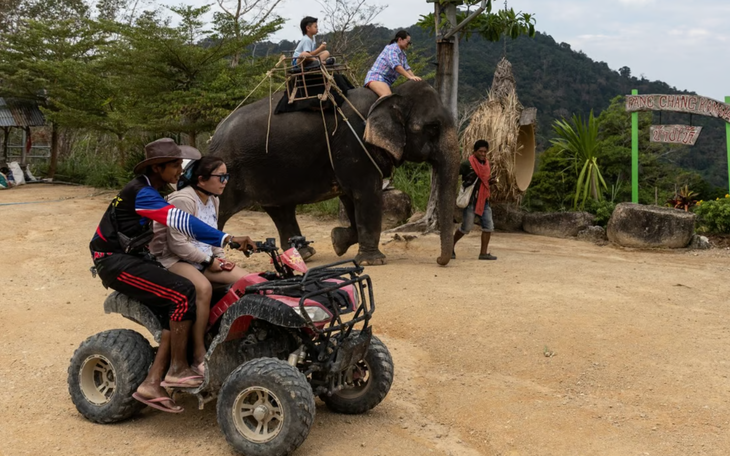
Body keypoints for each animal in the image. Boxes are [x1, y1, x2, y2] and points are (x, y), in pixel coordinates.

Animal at [209, 80, 456, 266]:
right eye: (434, 127)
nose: (439, 260)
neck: (391, 94)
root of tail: (215, 135)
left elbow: (350, 197)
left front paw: (337, 241)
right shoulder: (354, 145)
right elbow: (366, 195)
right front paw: (373, 261)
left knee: (281, 210)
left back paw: (304, 255)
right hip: (228, 170)